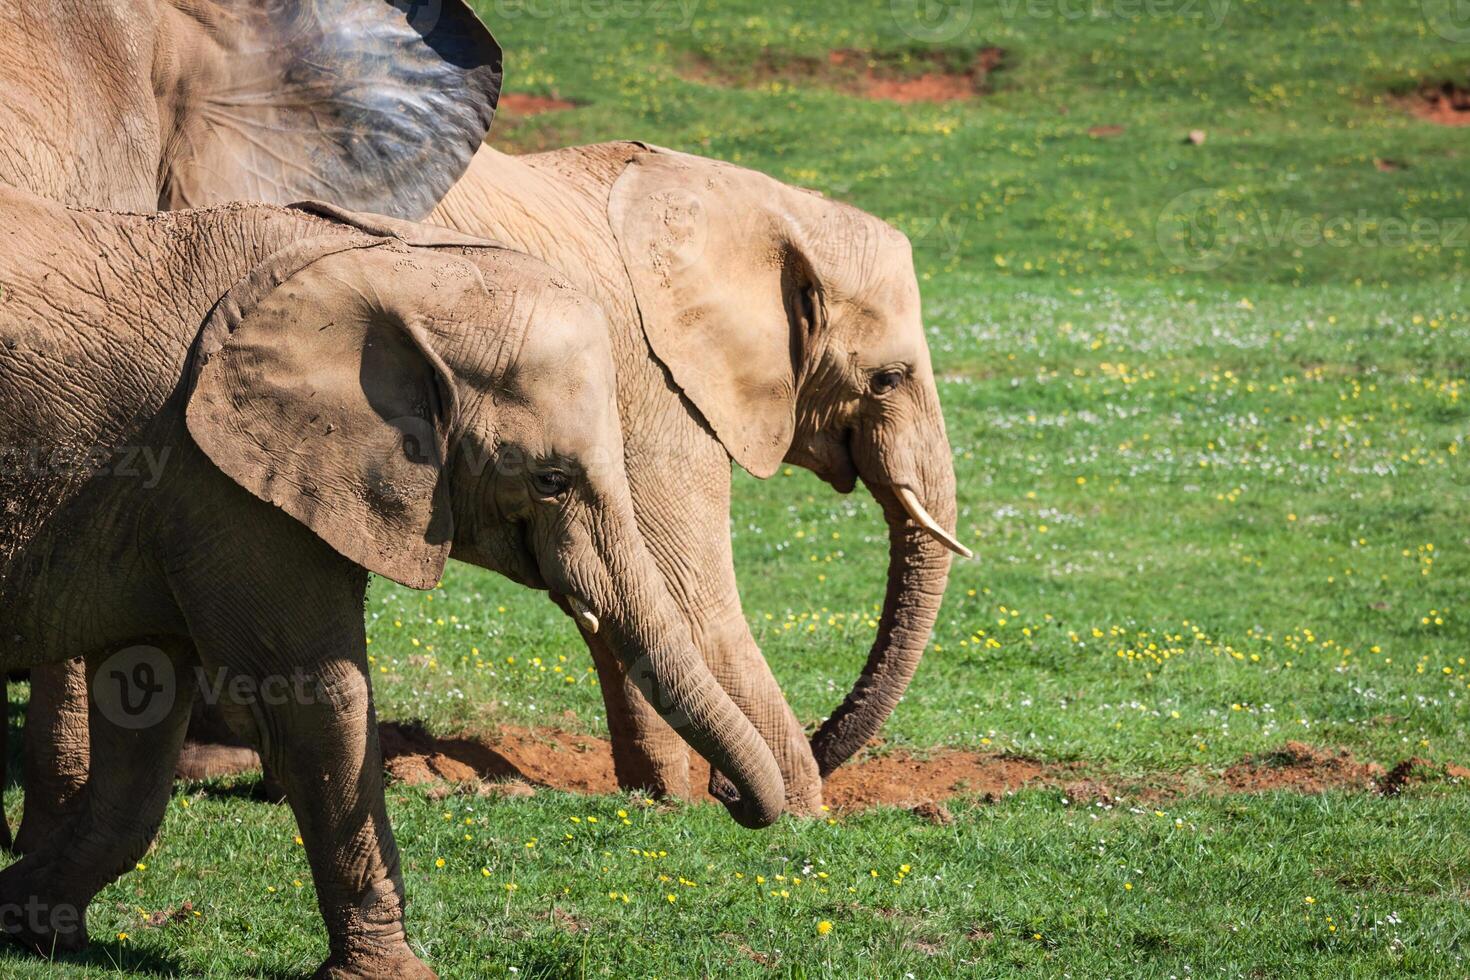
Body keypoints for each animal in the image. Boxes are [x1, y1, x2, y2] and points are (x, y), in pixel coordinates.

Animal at [0, 185, 787, 980]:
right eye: (551, 481)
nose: (725, 796)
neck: (382, 264)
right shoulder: (221, 476)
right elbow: (315, 700)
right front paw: (390, 973)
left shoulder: (184, 492)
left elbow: (143, 711)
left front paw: (29, 924)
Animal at [429, 139, 970, 811]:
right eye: (887, 380)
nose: (725, 791)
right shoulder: (657, 382)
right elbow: (690, 597)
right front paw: (800, 814)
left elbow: (611, 597)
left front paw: (660, 798)